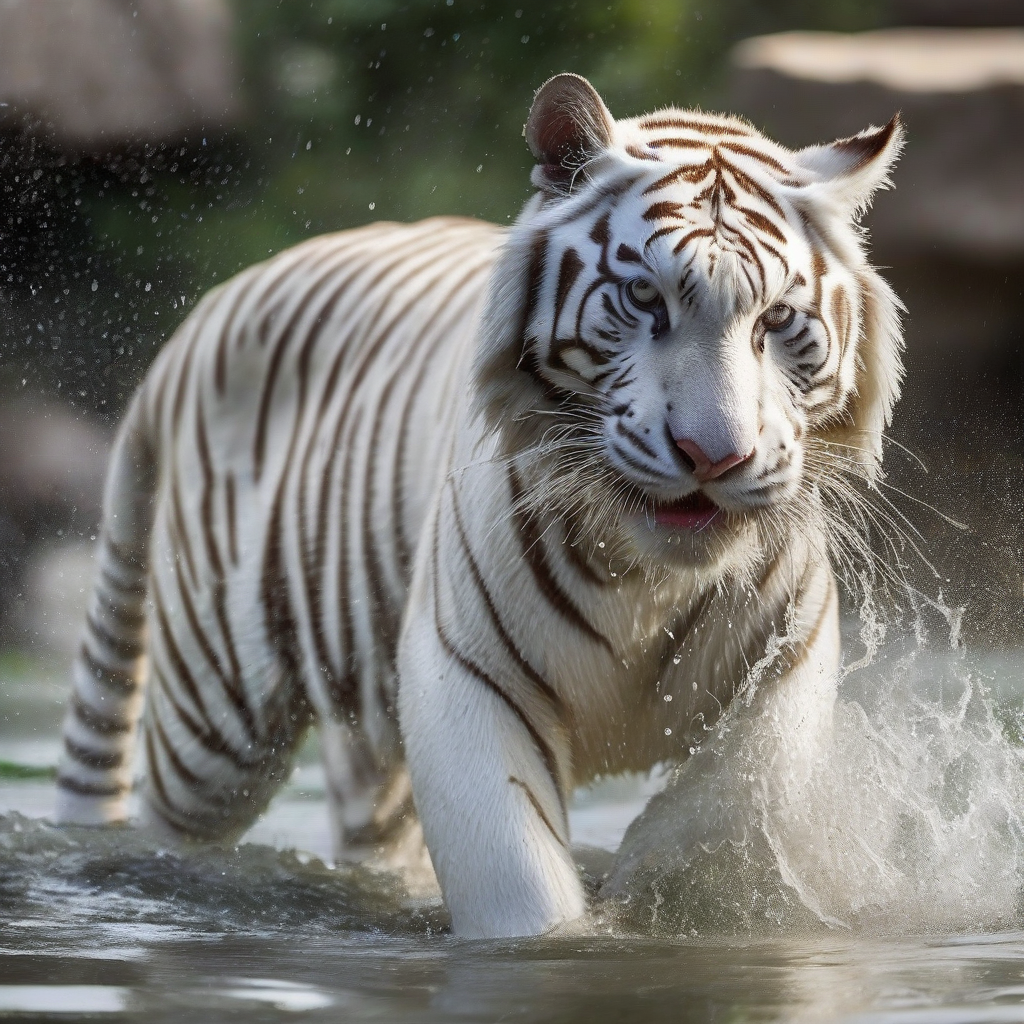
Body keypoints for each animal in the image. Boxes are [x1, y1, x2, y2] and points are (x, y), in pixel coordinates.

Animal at [56, 72, 905, 937]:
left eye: (777, 319)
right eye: (644, 296)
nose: (714, 455)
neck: (648, 576)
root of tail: (206, 312)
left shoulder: (783, 668)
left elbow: (733, 812)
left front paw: (659, 878)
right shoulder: (469, 675)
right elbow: (519, 884)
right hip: (216, 715)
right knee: (175, 824)